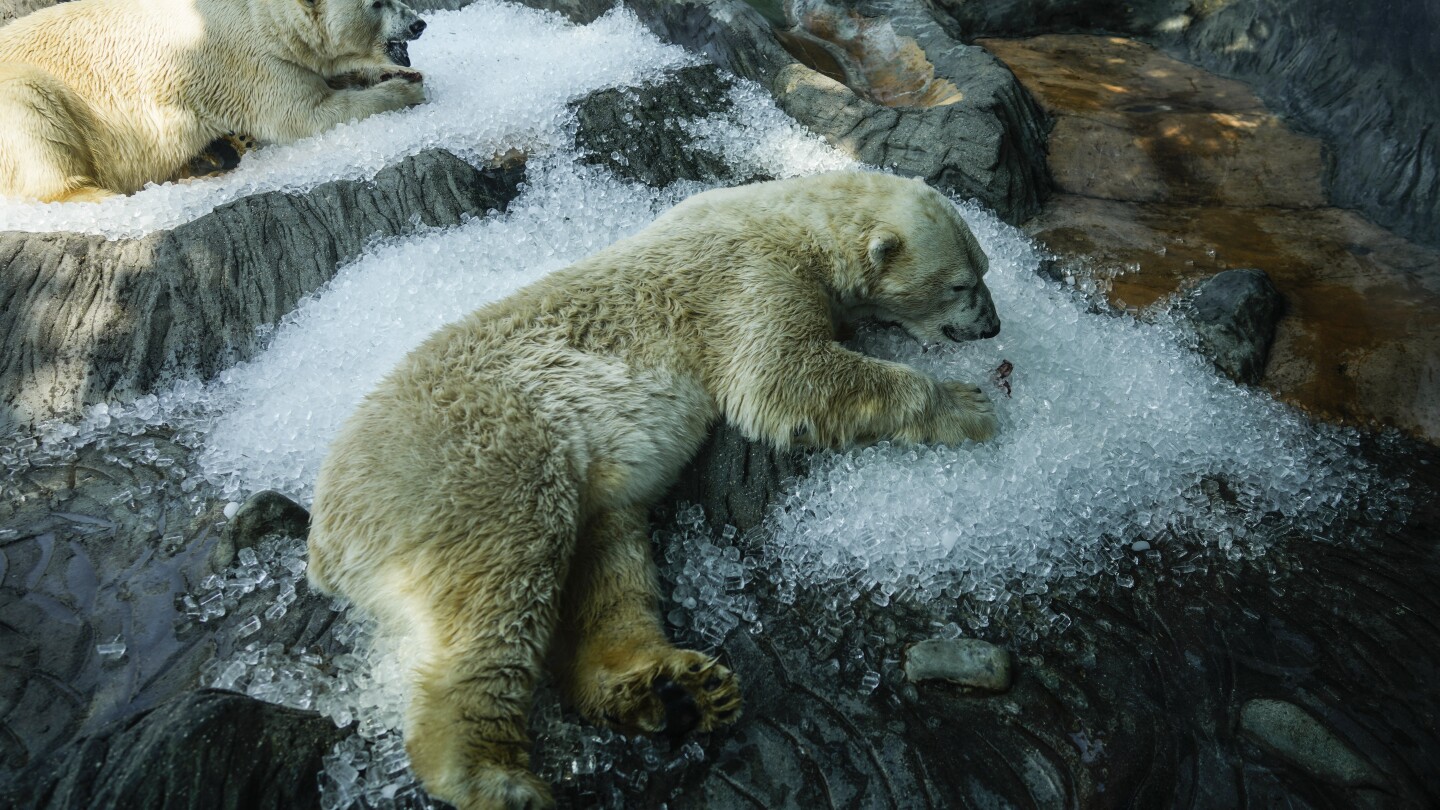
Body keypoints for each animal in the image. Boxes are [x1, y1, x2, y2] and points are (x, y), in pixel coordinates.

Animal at [0, 0, 426, 201]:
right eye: (376, 3)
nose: (418, 23)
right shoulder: (252, 62)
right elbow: (310, 114)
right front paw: (405, 90)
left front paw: (398, 74)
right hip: (27, 91)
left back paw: (213, 155)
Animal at [303, 171, 1002, 807]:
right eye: (964, 284)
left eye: (986, 268)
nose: (993, 327)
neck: (788, 217)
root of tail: (326, 543)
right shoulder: (748, 277)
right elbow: (780, 378)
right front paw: (966, 405)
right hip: (475, 467)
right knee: (500, 588)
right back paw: (494, 778)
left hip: (571, 489)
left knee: (610, 565)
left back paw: (669, 685)